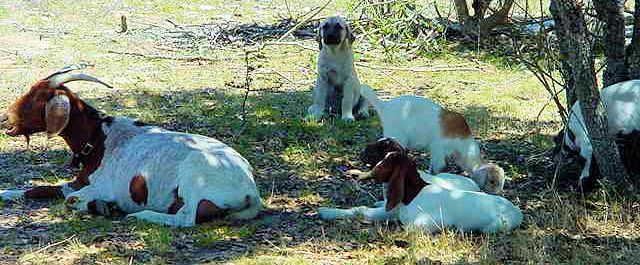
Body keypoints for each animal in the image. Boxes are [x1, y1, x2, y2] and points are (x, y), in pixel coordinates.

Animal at [0, 66, 262, 225]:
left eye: (37, 97)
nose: (5, 118)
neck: (100, 139)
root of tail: (250, 190)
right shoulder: (76, 183)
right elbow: (38, 189)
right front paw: (7, 193)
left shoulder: (102, 186)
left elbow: (72, 199)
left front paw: (103, 206)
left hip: (194, 174)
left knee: (185, 218)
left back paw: (140, 215)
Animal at [318, 152, 524, 232]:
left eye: (387, 162)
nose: (367, 173)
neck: (413, 193)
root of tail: (517, 211)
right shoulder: (392, 211)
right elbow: (361, 210)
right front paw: (327, 211)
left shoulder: (425, 223)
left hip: (494, 227)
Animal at [360, 84, 504, 186]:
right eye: (492, 181)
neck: (464, 144)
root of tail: (385, 105)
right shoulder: (437, 149)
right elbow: (437, 167)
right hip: (396, 135)